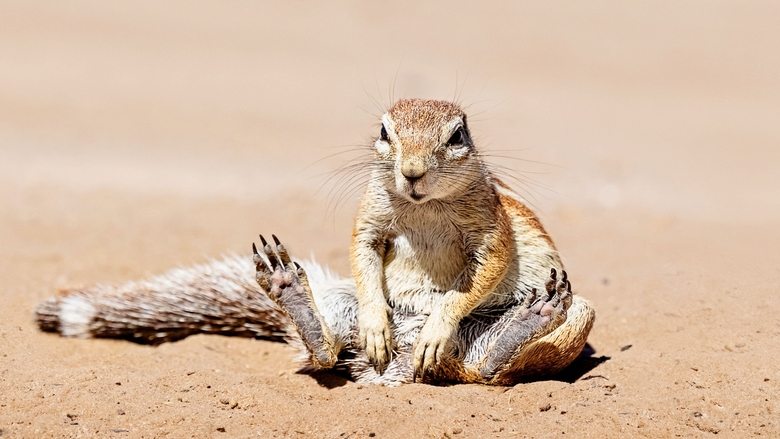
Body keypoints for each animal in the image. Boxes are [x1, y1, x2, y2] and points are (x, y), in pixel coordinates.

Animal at [36, 99, 596, 384]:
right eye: (385, 131)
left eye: (457, 136)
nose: (412, 172)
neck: (423, 206)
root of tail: (397, 368)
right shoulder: (369, 218)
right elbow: (364, 256)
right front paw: (375, 322)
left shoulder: (491, 228)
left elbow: (478, 277)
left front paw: (440, 323)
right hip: (338, 309)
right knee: (325, 354)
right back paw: (295, 296)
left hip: (577, 315)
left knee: (486, 372)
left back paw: (519, 324)